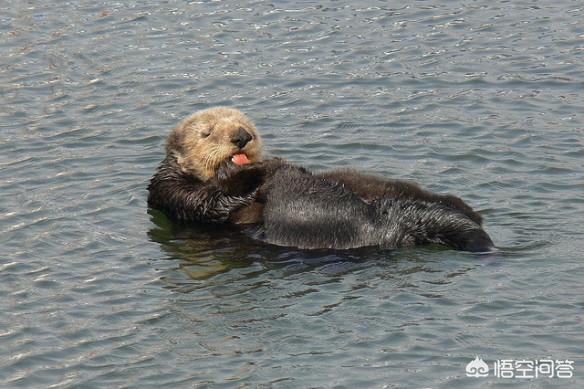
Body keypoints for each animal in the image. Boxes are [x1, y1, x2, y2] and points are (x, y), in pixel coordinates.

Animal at [148, 107, 496, 252]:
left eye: (248, 126)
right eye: (207, 133)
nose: (241, 136)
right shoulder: (172, 191)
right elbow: (210, 202)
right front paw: (256, 170)